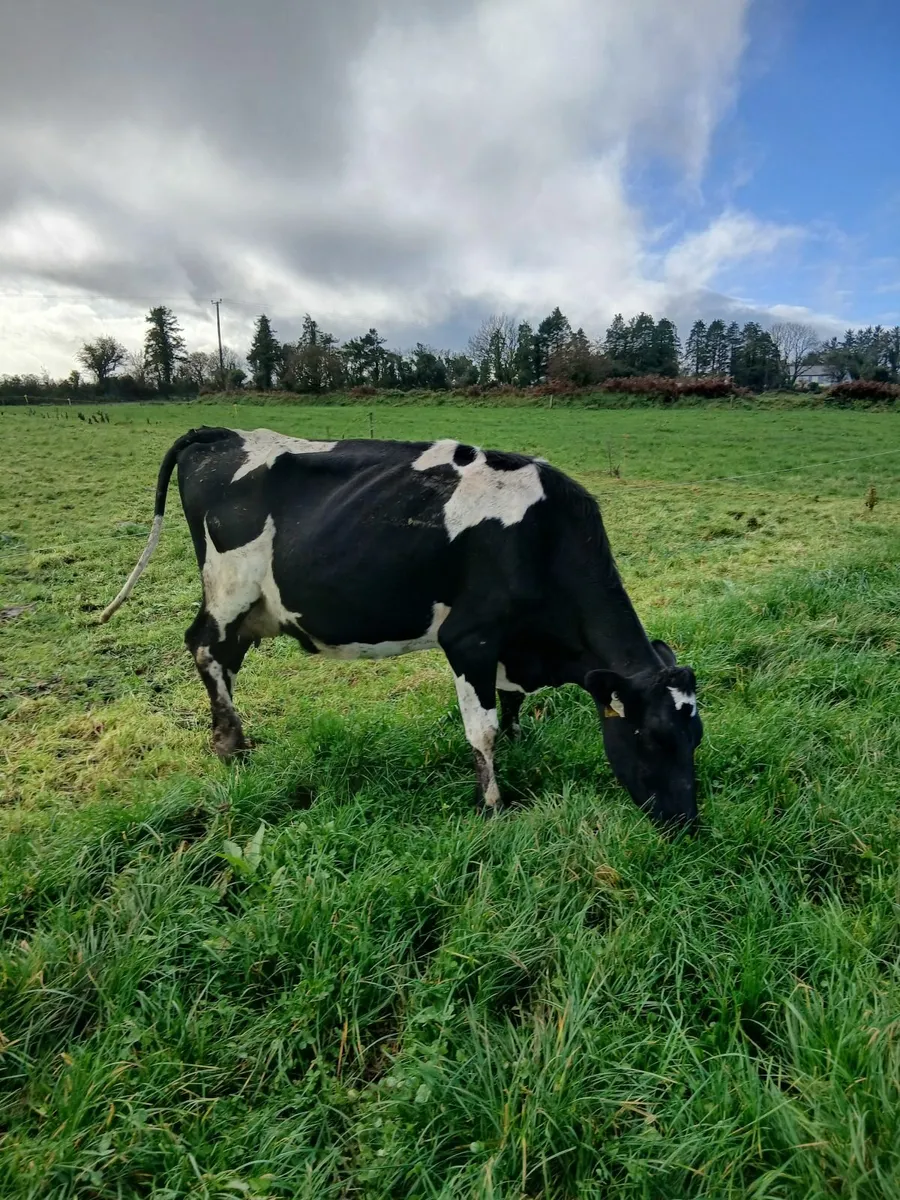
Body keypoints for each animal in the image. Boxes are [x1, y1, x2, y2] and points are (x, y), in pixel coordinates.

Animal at [100, 427, 703, 832]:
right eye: (651, 737)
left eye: (696, 737)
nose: (687, 824)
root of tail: (225, 433)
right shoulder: (468, 639)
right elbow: (480, 730)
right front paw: (493, 806)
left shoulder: (509, 648)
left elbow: (509, 706)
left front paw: (518, 742)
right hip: (229, 588)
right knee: (204, 649)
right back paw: (231, 745)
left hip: (253, 608)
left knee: (223, 657)